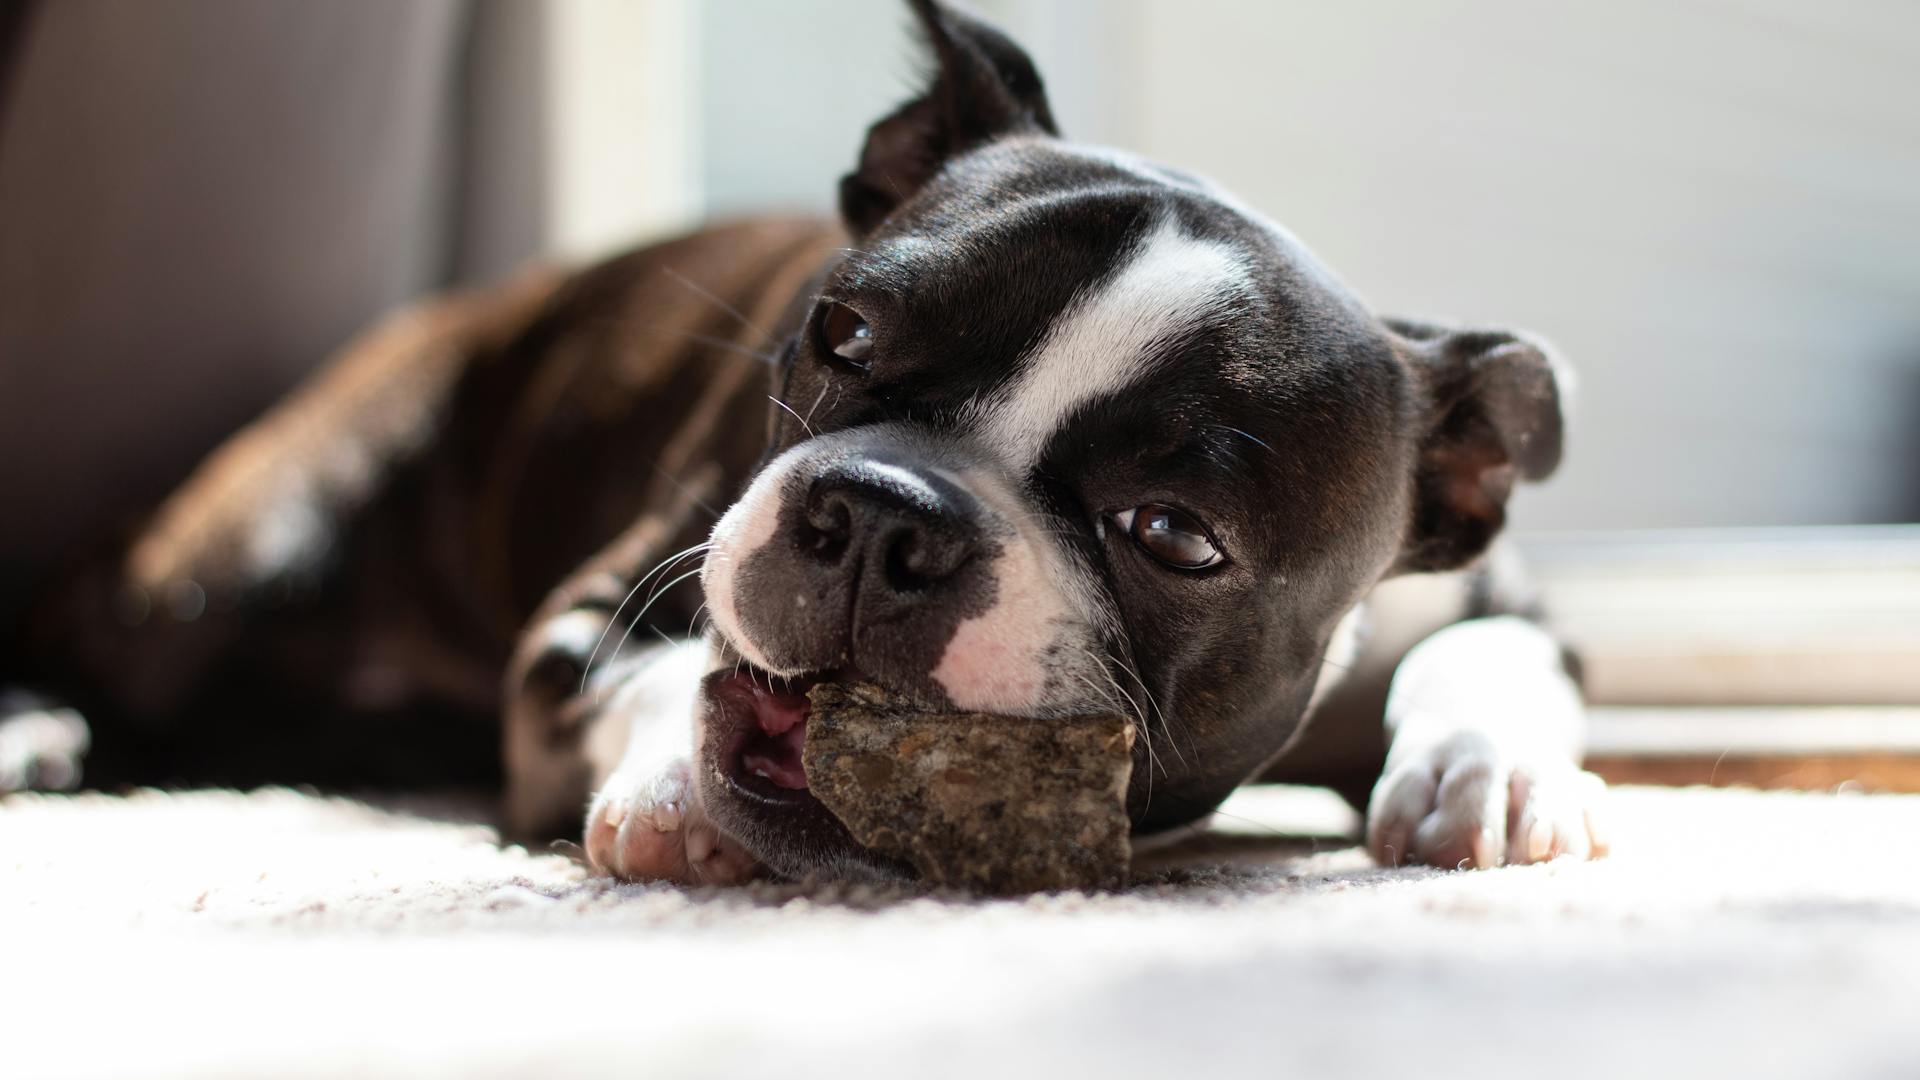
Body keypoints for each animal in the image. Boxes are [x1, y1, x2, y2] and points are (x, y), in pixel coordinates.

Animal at [11, 2, 1605, 883]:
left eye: (1175, 536)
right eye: (839, 334)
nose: (887, 515)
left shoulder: (1505, 602)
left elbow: (1494, 660)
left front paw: (1494, 775)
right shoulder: (599, 609)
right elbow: (665, 675)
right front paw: (672, 789)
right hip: (230, 562)